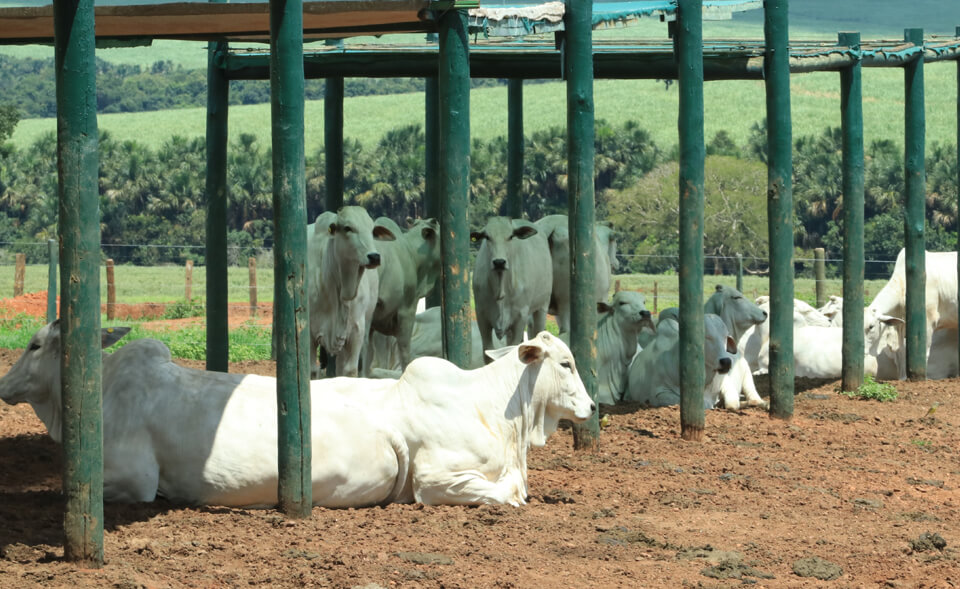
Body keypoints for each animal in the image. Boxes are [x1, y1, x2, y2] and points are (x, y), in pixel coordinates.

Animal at [310, 204, 396, 374]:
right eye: (347, 228)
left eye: (372, 230)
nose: (374, 257)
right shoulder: (308, 332)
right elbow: (311, 371)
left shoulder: (356, 331)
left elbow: (350, 370)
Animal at [474, 217, 556, 352]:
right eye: (487, 237)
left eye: (511, 236)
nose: (499, 262)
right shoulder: (481, 316)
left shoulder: (520, 317)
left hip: (542, 306)